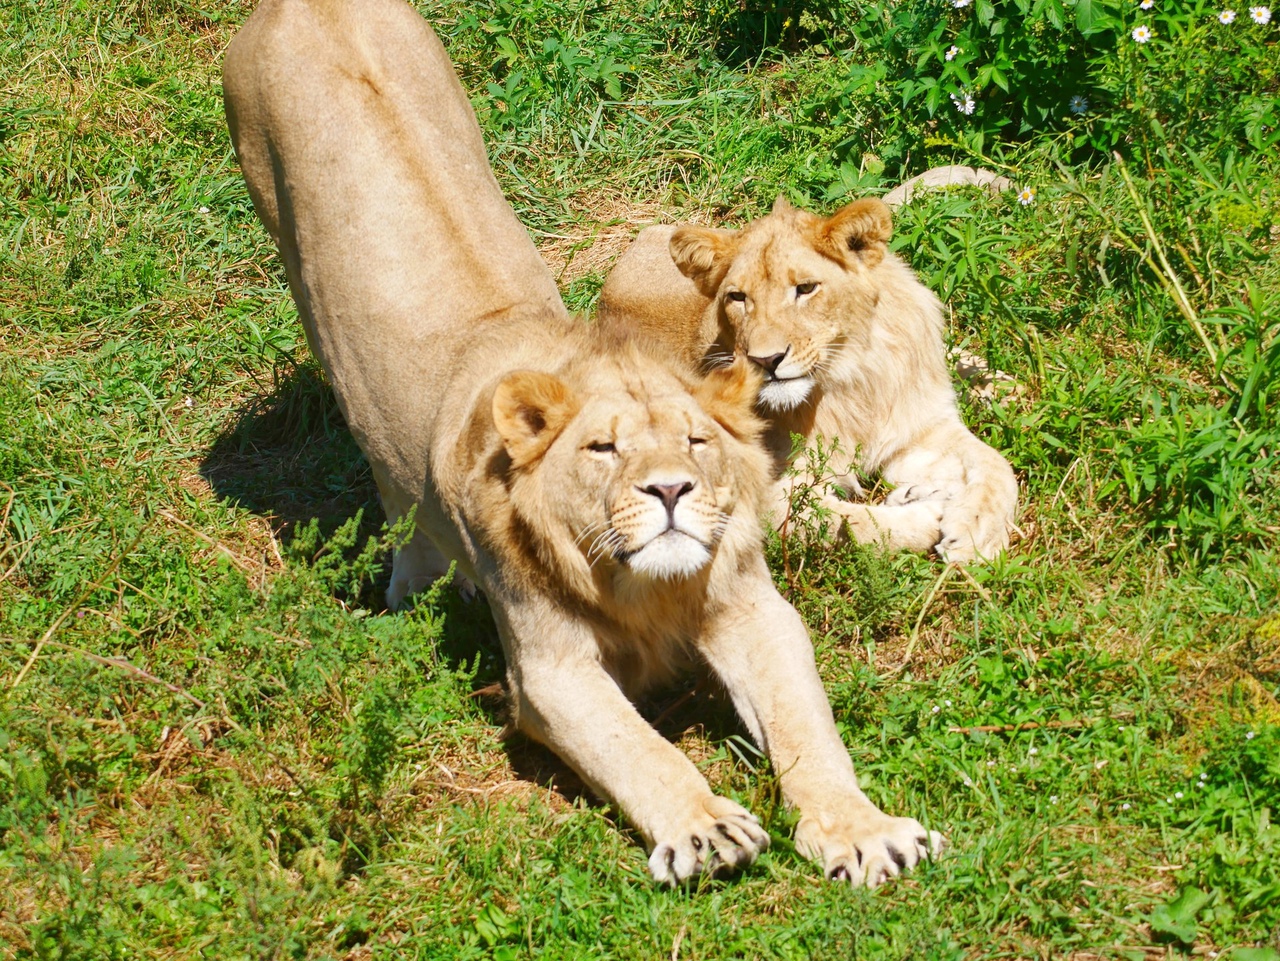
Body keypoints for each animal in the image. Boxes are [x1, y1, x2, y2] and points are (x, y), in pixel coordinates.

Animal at [220, 0, 942, 890]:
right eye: (603, 449)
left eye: (696, 440)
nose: (670, 490)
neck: (646, 593)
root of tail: (300, 7)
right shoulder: (548, 671)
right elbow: (640, 749)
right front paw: (705, 828)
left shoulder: (752, 608)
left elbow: (809, 732)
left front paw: (863, 832)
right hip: (290, 252)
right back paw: (418, 586)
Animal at [599, 200, 1018, 563]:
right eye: (737, 297)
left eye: (805, 289)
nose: (765, 360)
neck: (850, 383)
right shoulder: (756, 494)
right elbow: (852, 524)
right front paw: (929, 512)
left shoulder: (919, 431)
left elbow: (999, 466)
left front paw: (977, 532)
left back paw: (994, 382)